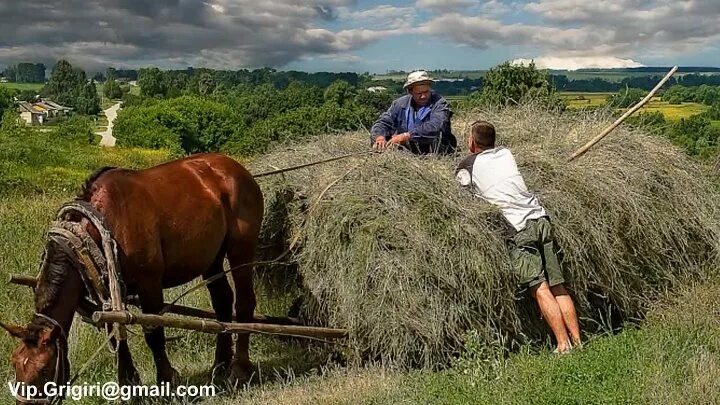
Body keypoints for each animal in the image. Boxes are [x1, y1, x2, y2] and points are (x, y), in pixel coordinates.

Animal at [0, 152, 264, 400]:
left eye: (43, 369)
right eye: (15, 365)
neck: (104, 224)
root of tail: (236, 168)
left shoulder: (150, 284)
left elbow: (154, 333)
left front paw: (167, 381)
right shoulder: (107, 289)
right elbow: (116, 332)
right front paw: (128, 384)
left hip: (241, 249)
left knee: (244, 303)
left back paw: (239, 369)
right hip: (211, 258)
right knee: (222, 302)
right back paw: (220, 365)